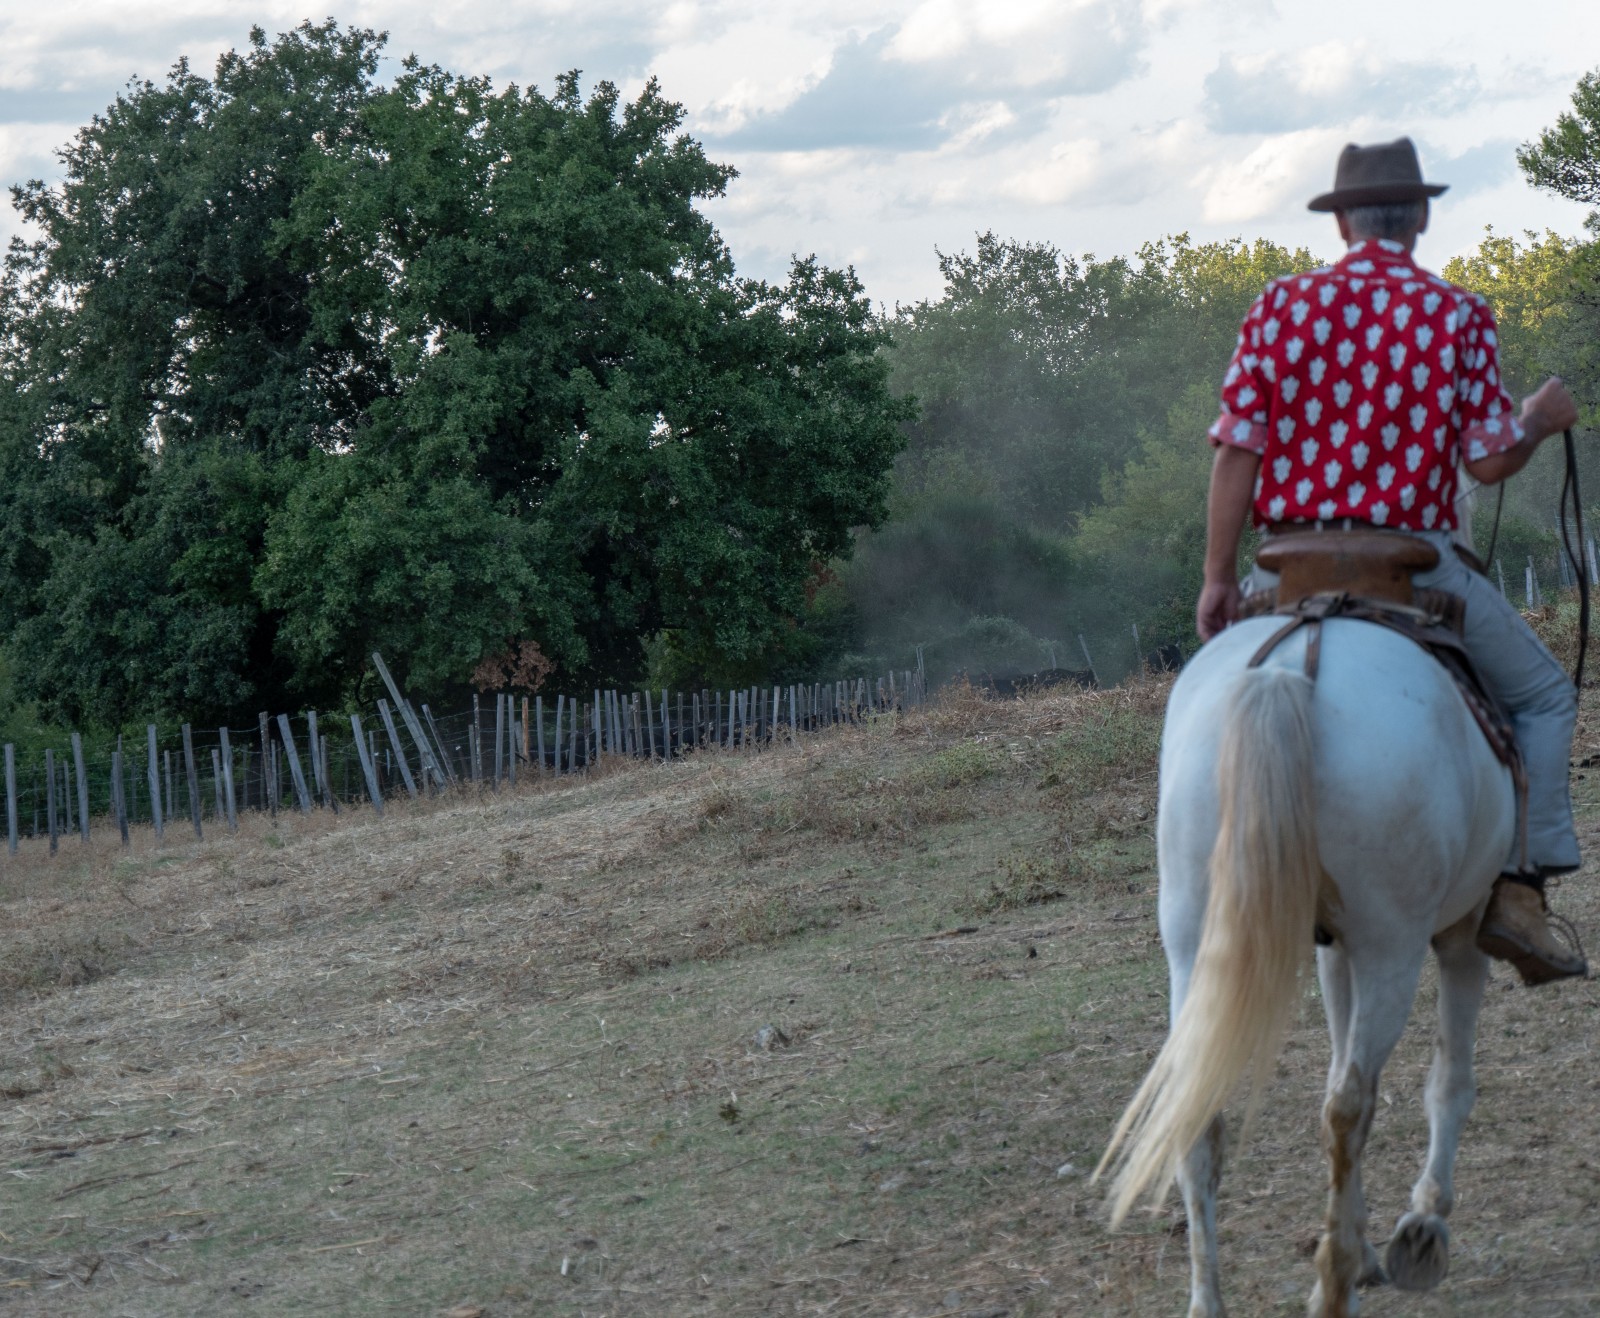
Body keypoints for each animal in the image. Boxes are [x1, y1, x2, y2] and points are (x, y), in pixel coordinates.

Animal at [1094, 617, 1516, 1318]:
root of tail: (1290, 668)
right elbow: (1447, 1083)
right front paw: (1422, 1227)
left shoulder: (1334, 949)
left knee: (1200, 1111)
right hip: (1393, 949)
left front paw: (1370, 1243)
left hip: (1193, 945)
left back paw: (1213, 1296)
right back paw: (1333, 1286)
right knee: (1349, 1106)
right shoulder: (1463, 935)